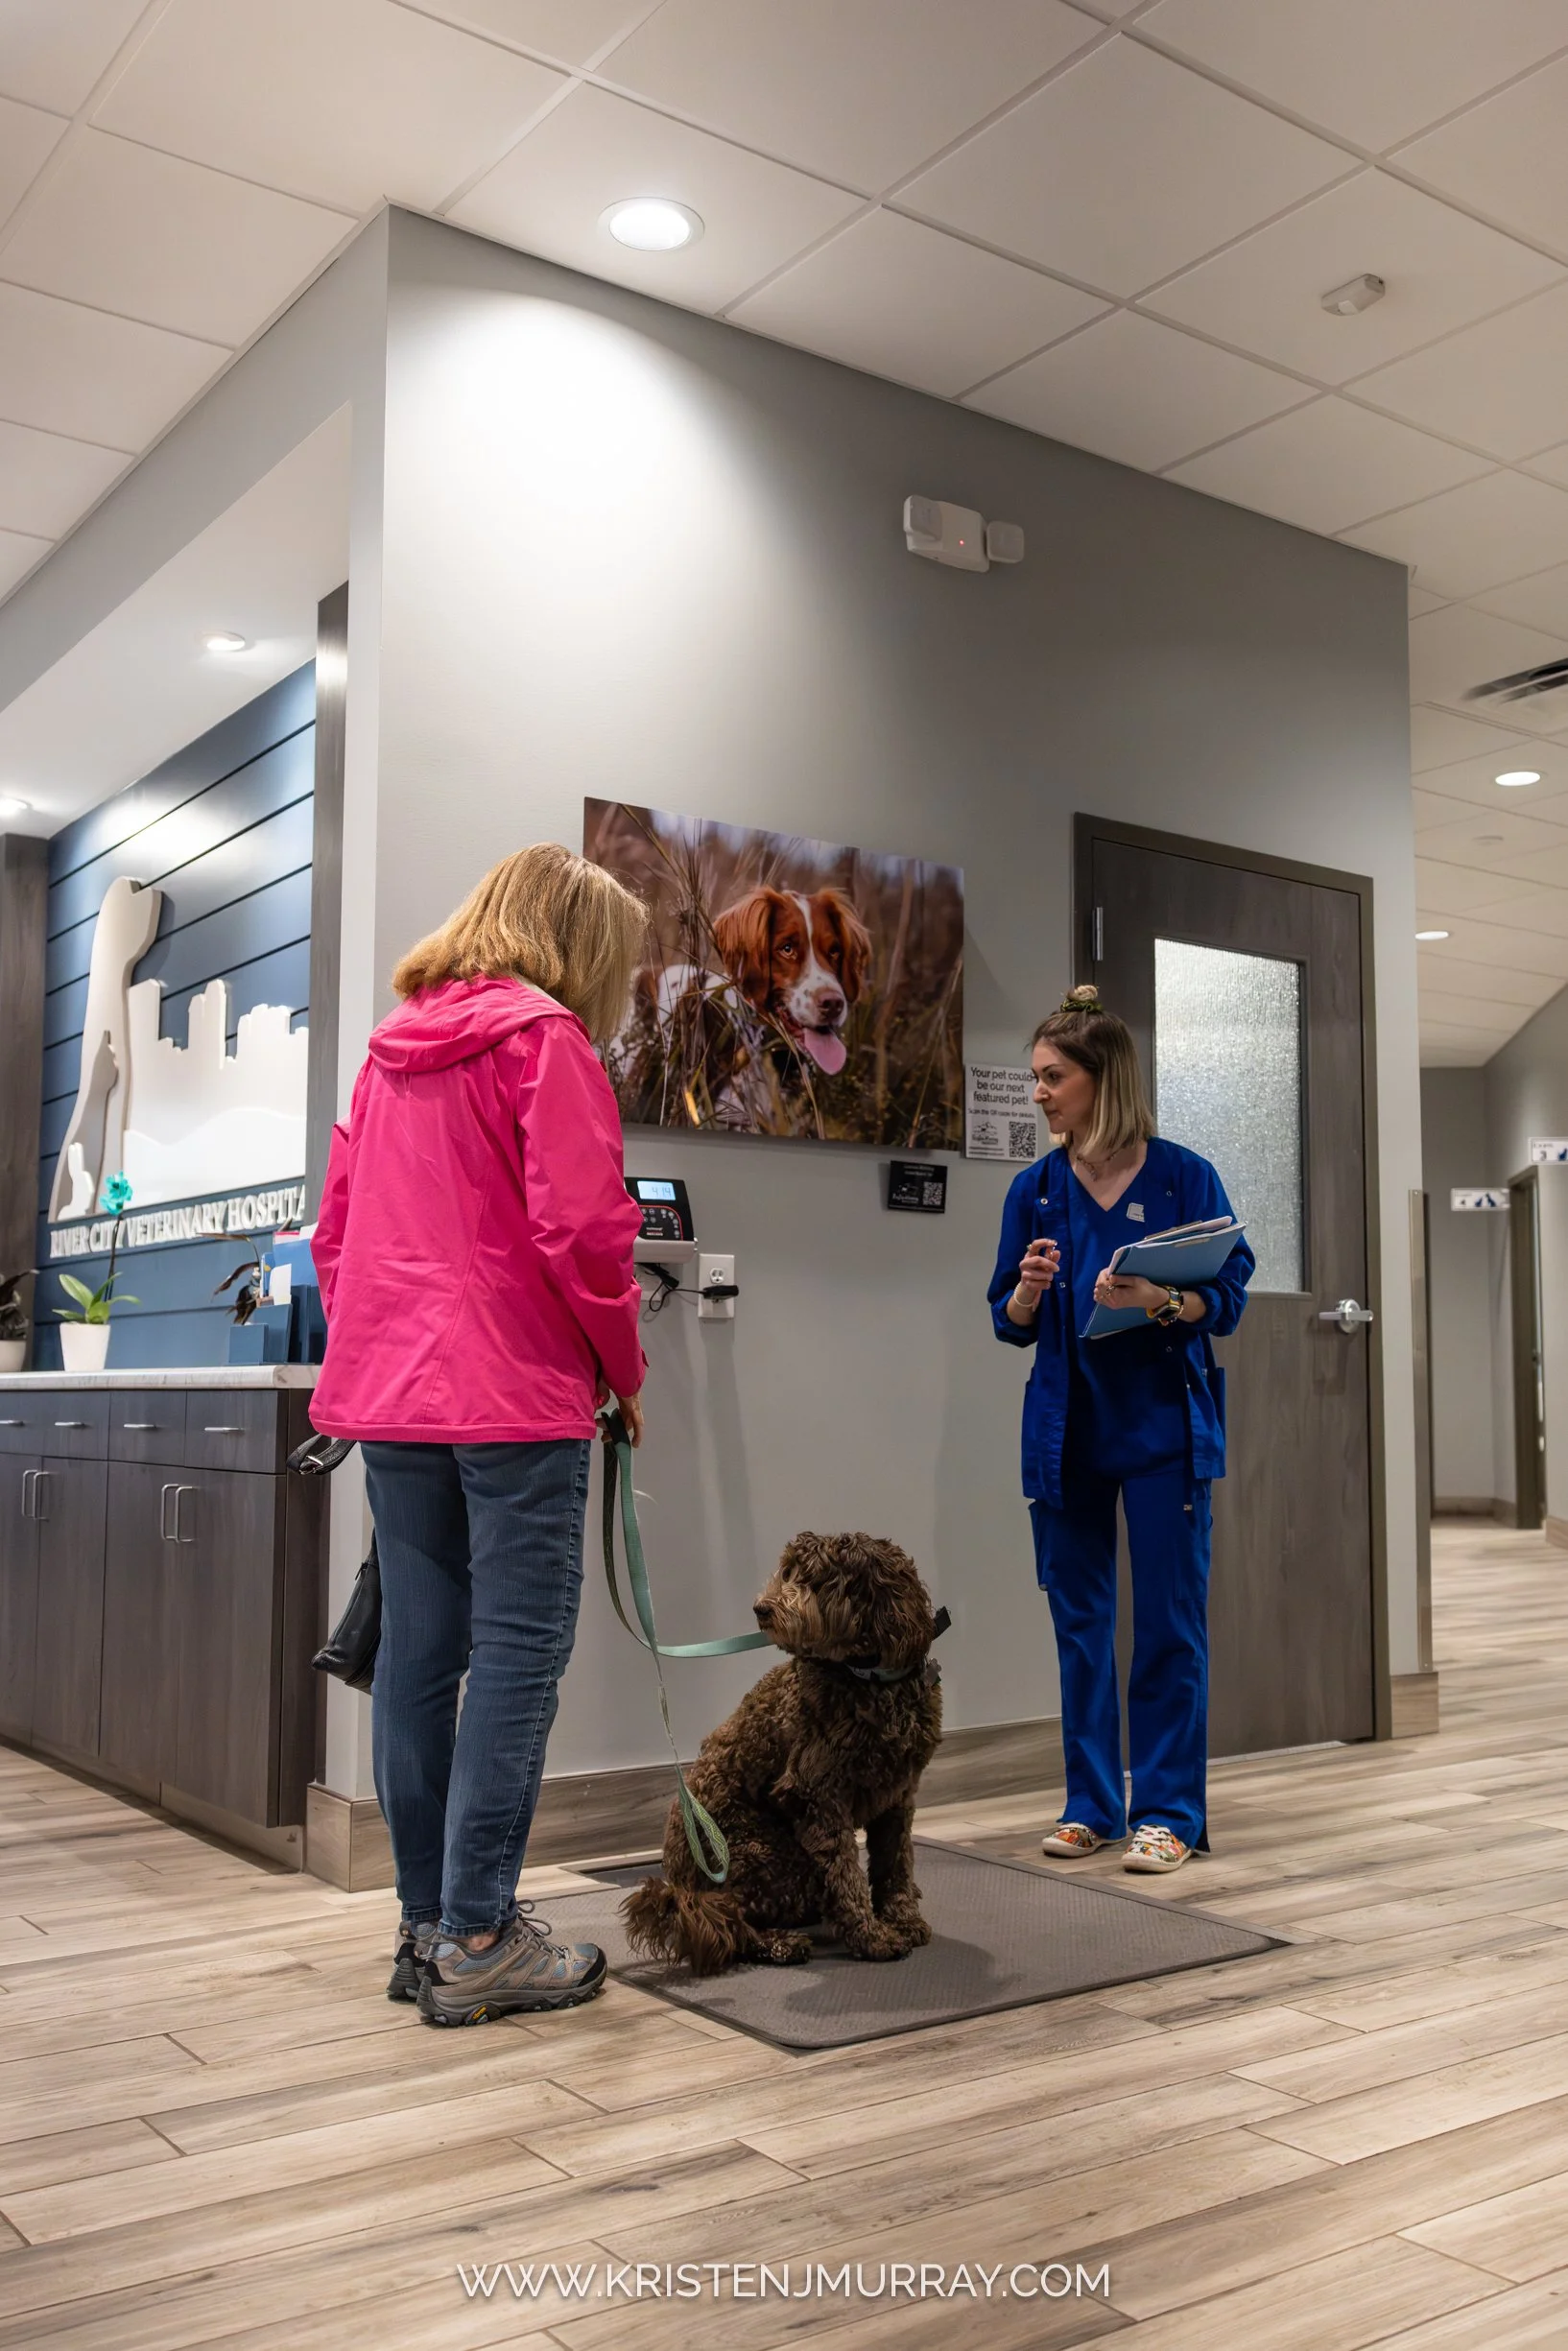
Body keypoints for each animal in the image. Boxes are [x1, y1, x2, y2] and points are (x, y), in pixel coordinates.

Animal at [621, 1533, 945, 1976]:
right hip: (769, 1855)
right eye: (789, 1572)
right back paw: (779, 1943)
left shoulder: (899, 1795)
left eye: (818, 1580)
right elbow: (846, 1875)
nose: (762, 1608)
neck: (871, 1680)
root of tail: (681, 1885)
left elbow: (896, 1863)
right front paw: (872, 1937)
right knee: (729, 1921)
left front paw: (903, 1920)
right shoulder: (816, 1797)